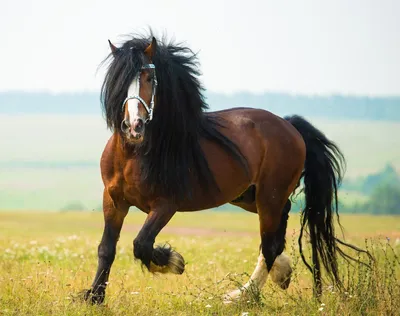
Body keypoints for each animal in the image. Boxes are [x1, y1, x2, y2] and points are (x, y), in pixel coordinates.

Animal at [83, 31, 368, 304]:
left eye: (150, 78)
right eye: (118, 81)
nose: (134, 126)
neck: (135, 153)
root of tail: (291, 127)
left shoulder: (165, 205)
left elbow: (141, 243)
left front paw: (174, 262)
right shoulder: (114, 201)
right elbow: (106, 248)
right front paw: (94, 297)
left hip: (269, 196)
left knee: (269, 244)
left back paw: (240, 296)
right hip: (249, 197)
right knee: (278, 227)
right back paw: (281, 273)